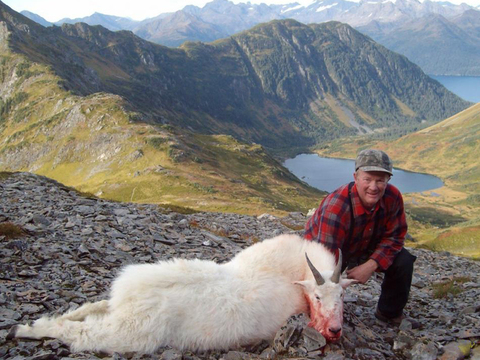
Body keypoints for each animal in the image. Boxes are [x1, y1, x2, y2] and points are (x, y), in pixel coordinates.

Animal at [11, 233, 356, 354]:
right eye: (317, 298)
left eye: (342, 297)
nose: (334, 330)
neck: (291, 272)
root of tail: (130, 294)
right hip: (131, 334)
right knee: (81, 333)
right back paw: (26, 329)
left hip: (117, 313)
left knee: (88, 310)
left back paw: (34, 324)